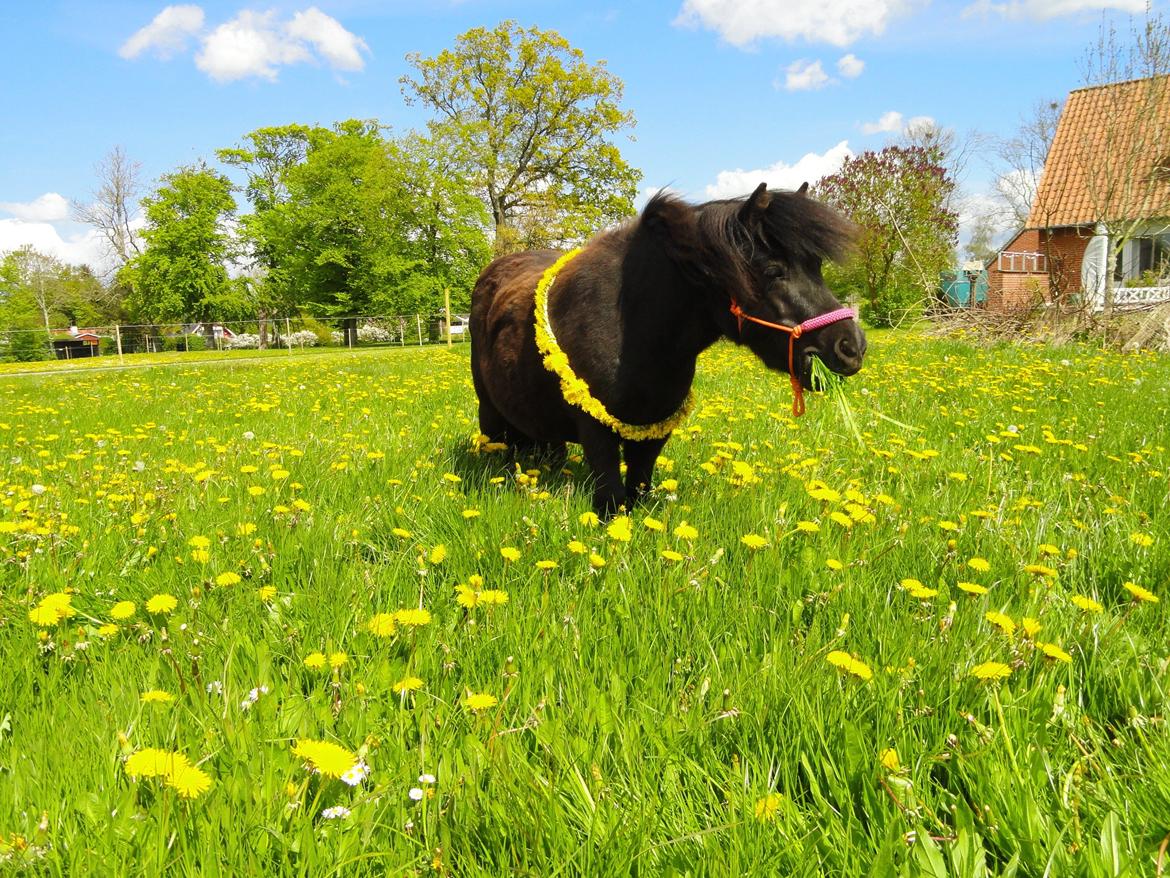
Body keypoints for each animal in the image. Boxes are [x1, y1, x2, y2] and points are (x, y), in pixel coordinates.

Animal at [470, 183, 865, 515]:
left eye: (816, 266)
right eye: (773, 270)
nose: (851, 347)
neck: (633, 330)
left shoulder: (654, 430)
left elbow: (638, 490)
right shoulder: (596, 430)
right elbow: (612, 498)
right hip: (489, 412)